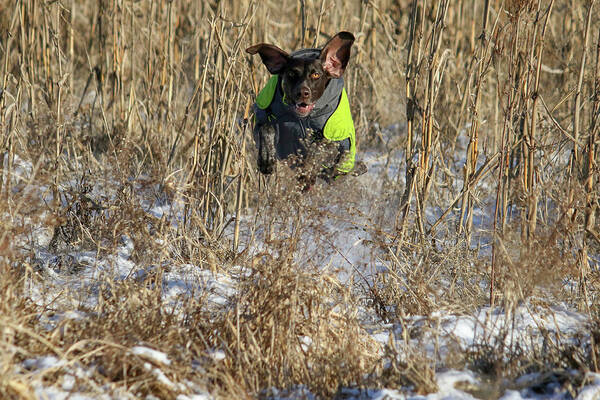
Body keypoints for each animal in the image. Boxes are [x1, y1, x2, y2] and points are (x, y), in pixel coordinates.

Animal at [245, 32, 366, 182]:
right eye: (291, 74)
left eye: (316, 74)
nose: (302, 93)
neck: (302, 119)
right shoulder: (261, 120)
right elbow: (266, 129)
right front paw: (267, 160)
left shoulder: (335, 138)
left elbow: (322, 148)